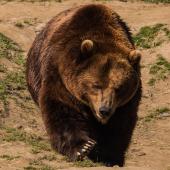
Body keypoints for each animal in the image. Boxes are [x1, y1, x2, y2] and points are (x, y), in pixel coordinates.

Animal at [25, 3, 141, 167]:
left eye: (119, 88)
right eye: (96, 85)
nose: (104, 110)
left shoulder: (126, 102)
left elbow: (120, 125)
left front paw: (108, 155)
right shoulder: (60, 76)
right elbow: (63, 108)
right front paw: (83, 147)